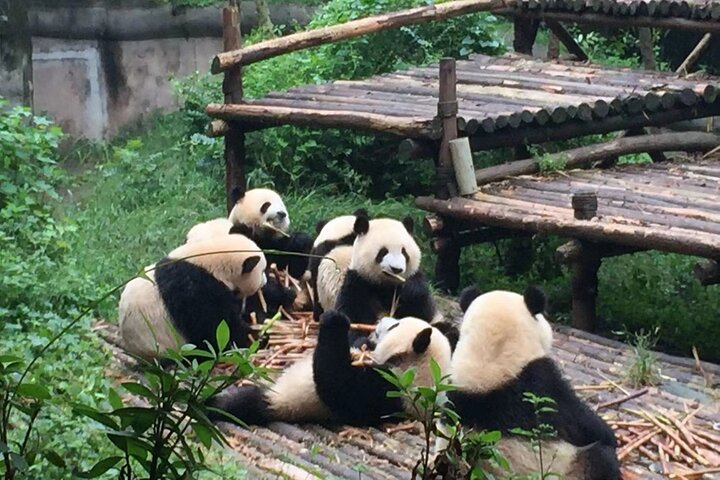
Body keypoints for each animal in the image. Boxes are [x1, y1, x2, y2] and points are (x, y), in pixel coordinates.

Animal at [208, 310, 452, 427]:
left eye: (395, 326)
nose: (382, 320)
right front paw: (362, 340)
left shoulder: (390, 389)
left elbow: (338, 386)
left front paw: (336, 320)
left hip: (281, 400)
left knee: (243, 404)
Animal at [333, 216, 451, 348]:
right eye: (383, 252)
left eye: (404, 252)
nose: (396, 269)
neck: (387, 284)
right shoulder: (359, 281)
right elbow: (354, 317)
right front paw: (363, 340)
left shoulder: (416, 279)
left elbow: (421, 309)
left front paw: (408, 290)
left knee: (443, 328)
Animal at [440, 285, 620, 480]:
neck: (487, 355)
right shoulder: (545, 386)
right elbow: (590, 427)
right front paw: (611, 435)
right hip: (568, 468)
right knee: (600, 458)